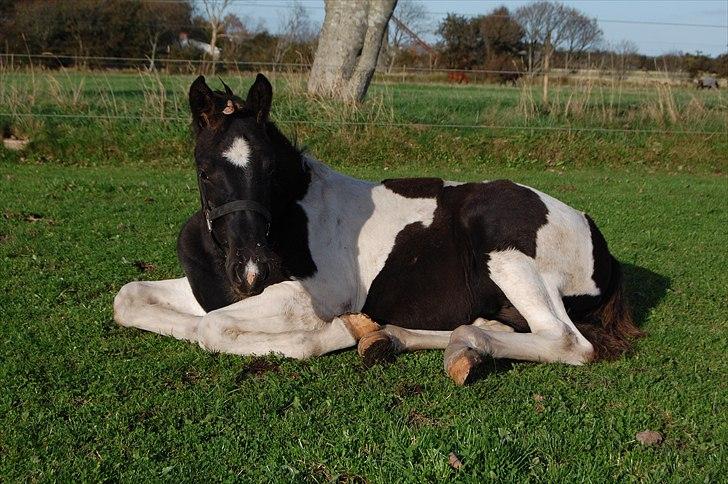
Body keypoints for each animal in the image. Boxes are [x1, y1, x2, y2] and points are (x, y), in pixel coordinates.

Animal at [111, 74, 640, 386]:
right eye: (204, 170)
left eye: (270, 168)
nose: (252, 272)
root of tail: (597, 239)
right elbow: (130, 298)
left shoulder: (309, 297)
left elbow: (214, 327)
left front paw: (328, 336)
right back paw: (410, 339)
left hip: (506, 249)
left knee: (567, 342)